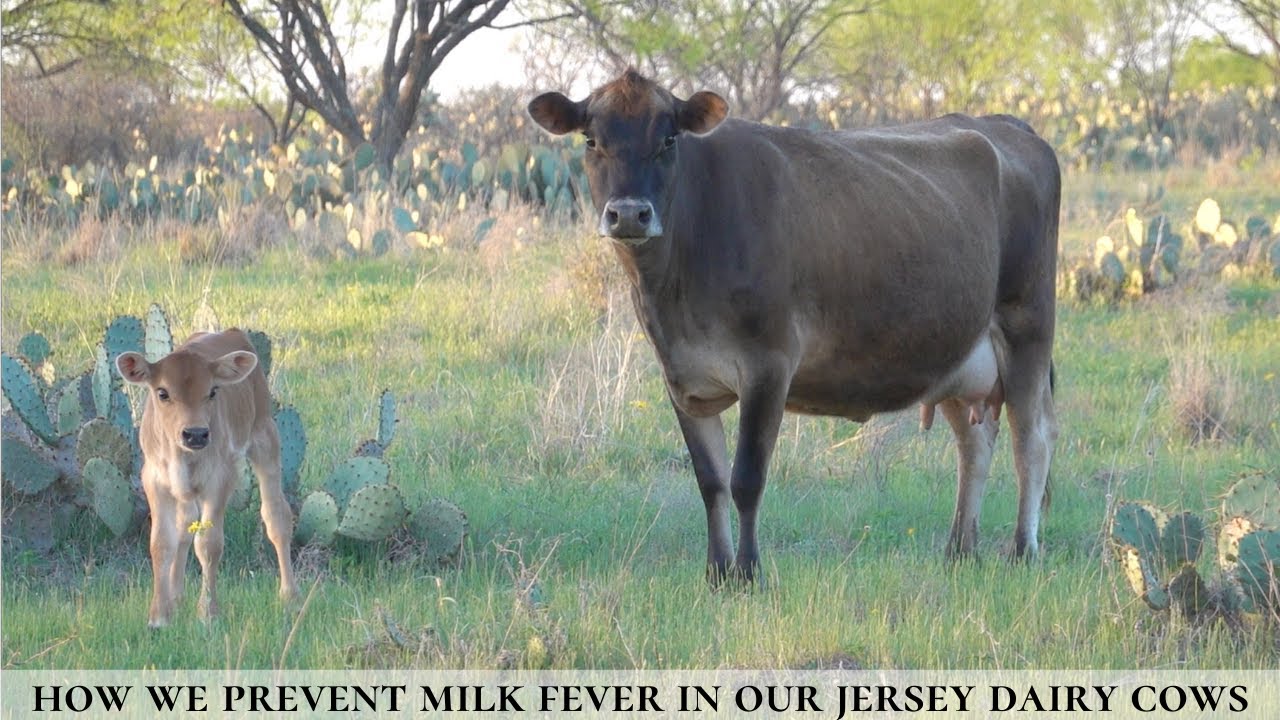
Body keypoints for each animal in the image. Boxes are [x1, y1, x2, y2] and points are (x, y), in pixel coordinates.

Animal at [117, 330, 296, 626]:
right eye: (162, 392)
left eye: (212, 391)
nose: (196, 434)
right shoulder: (155, 481)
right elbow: (161, 543)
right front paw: (160, 616)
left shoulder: (219, 480)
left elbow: (209, 545)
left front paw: (208, 614)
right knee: (185, 525)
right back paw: (177, 597)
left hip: (266, 440)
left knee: (276, 518)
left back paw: (290, 595)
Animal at [529, 69, 1060, 584]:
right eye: (591, 140)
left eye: (669, 138)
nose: (629, 214)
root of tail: (1007, 124)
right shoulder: (683, 379)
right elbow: (710, 482)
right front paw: (716, 574)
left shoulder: (768, 365)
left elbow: (746, 479)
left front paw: (748, 575)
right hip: (956, 351)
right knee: (974, 444)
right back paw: (960, 551)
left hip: (1027, 327)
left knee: (1030, 440)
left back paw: (1023, 551)